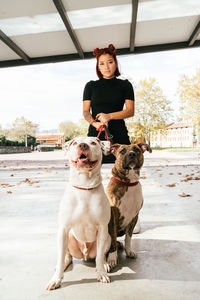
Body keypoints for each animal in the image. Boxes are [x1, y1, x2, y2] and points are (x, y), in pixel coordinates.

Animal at [45, 137, 111, 290]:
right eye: (75, 143)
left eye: (93, 143)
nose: (83, 145)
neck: (84, 185)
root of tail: (85, 254)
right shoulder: (63, 229)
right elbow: (60, 256)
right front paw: (56, 279)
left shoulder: (102, 227)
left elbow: (100, 256)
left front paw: (101, 273)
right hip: (68, 237)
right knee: (66, 256)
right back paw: (63, 265)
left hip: (108, 237)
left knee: (101, 254)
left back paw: (105, 264)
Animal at [105, 142, 151, 270]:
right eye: (122, 151)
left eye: (137, 149)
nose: (131, 154)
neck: (129, 183)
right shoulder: (112, 218)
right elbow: (112, 241)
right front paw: (112, 258)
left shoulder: (134, 216)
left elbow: (128, 237)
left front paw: (129, 250)